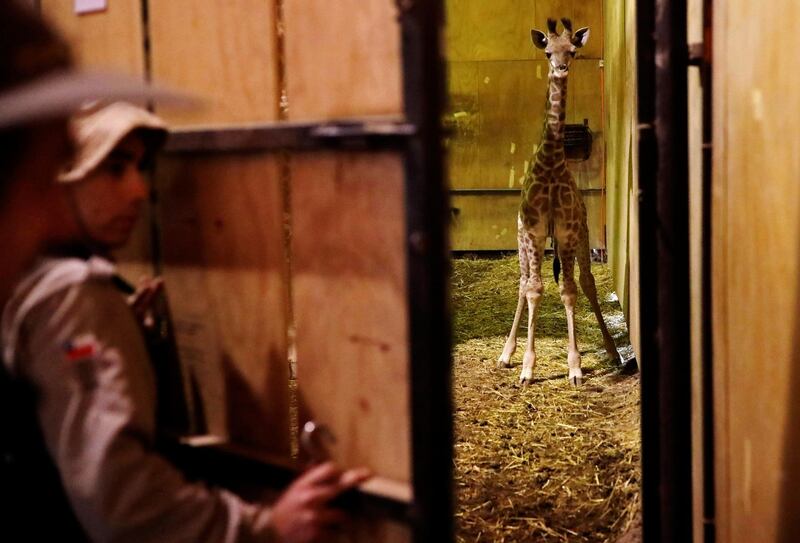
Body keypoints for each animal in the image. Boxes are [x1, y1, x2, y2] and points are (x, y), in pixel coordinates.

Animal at [496, 18, 620, 386]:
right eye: (548, 52)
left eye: (573, 51)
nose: (561, 68)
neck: (551, 164)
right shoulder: (535, 233)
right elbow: (535, 290)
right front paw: (527, 367)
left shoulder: (565, 233)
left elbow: (569, 290)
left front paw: (575, 366)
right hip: (522, 241)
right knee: (523, 284)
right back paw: (506, 354)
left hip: (580, 236)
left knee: (587, 283)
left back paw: (613, 351)